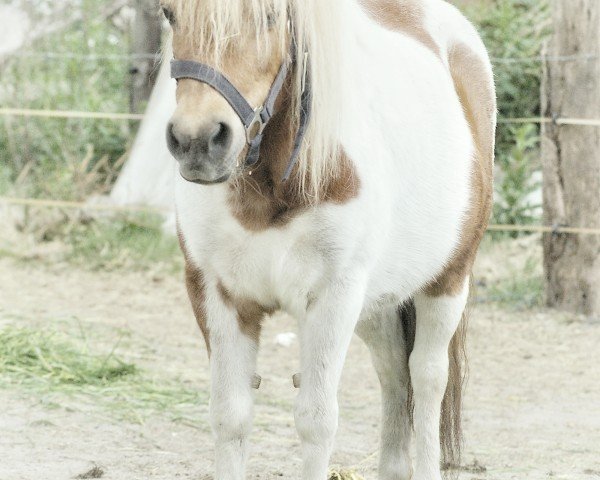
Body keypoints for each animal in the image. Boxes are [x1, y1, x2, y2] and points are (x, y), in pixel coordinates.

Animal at [162, 0, 494, 478]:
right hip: (379, 301)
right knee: (394, 371)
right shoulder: (217, 293)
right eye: (169, 14)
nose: (197, 140)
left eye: (268, 17)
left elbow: (316, 421)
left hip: (448, 282)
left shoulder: (334, 296)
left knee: (428, 377)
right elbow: (230, 416)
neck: (272, 186)